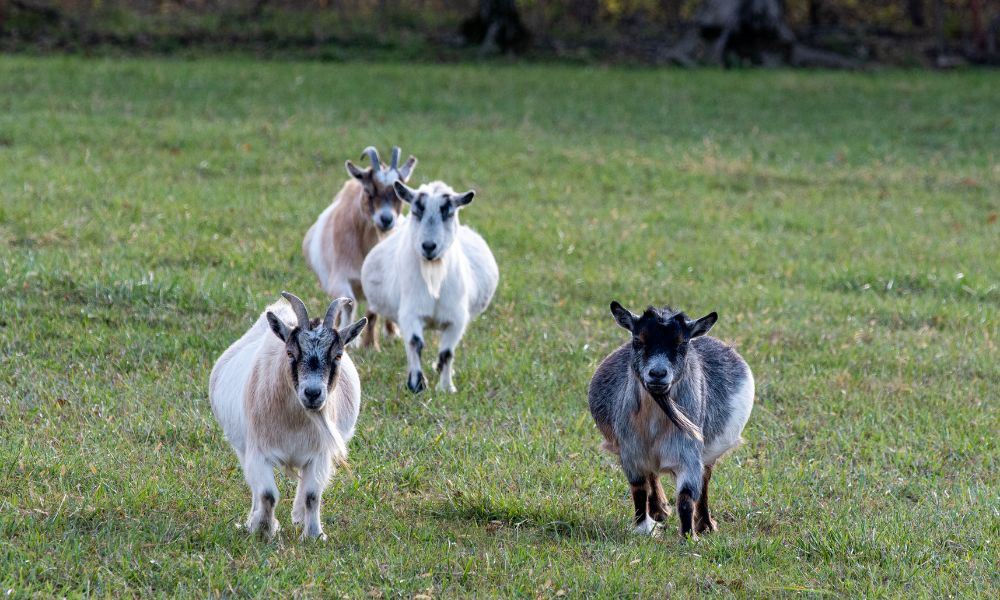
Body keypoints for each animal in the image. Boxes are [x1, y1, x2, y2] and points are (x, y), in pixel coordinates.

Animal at [208, 290, 368, 540]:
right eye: (291, 353)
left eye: (338, 355)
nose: (312, 393)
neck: (295, 423)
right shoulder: (259, 452)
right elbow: (267, 494)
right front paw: (263, 530)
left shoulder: (320, 454)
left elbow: (312, 495)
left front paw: (313, 535)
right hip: (242, 448)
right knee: (254, 486)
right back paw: (252, 519)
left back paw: (298, 515)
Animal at [302, 145, 416, 350]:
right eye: (369, 191)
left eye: (398, 194)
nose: (386, 219)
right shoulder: (339, 278)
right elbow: (349, 303)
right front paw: (350, 342)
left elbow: (372, 312)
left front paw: (371, 345)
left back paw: (392, 333)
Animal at [362, 179, 498, 394]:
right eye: (416, 211)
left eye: (449, 213)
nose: (428, 246)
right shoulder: (410, 313)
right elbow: (415, 343)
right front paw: (416, 385)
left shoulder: (456, 319)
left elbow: (447, 353)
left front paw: (446, 387)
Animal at [584, 302, 752, 536]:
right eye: (638, 340)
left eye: (682, 343)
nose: (657, 373)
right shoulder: (631, 453)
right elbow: (639, 489)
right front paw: (644, 528)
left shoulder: (689, 454)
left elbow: (687, 497)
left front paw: (688, 536)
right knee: (652, 476)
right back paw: (659, 510)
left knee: (705, 479)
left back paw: (705, 525)